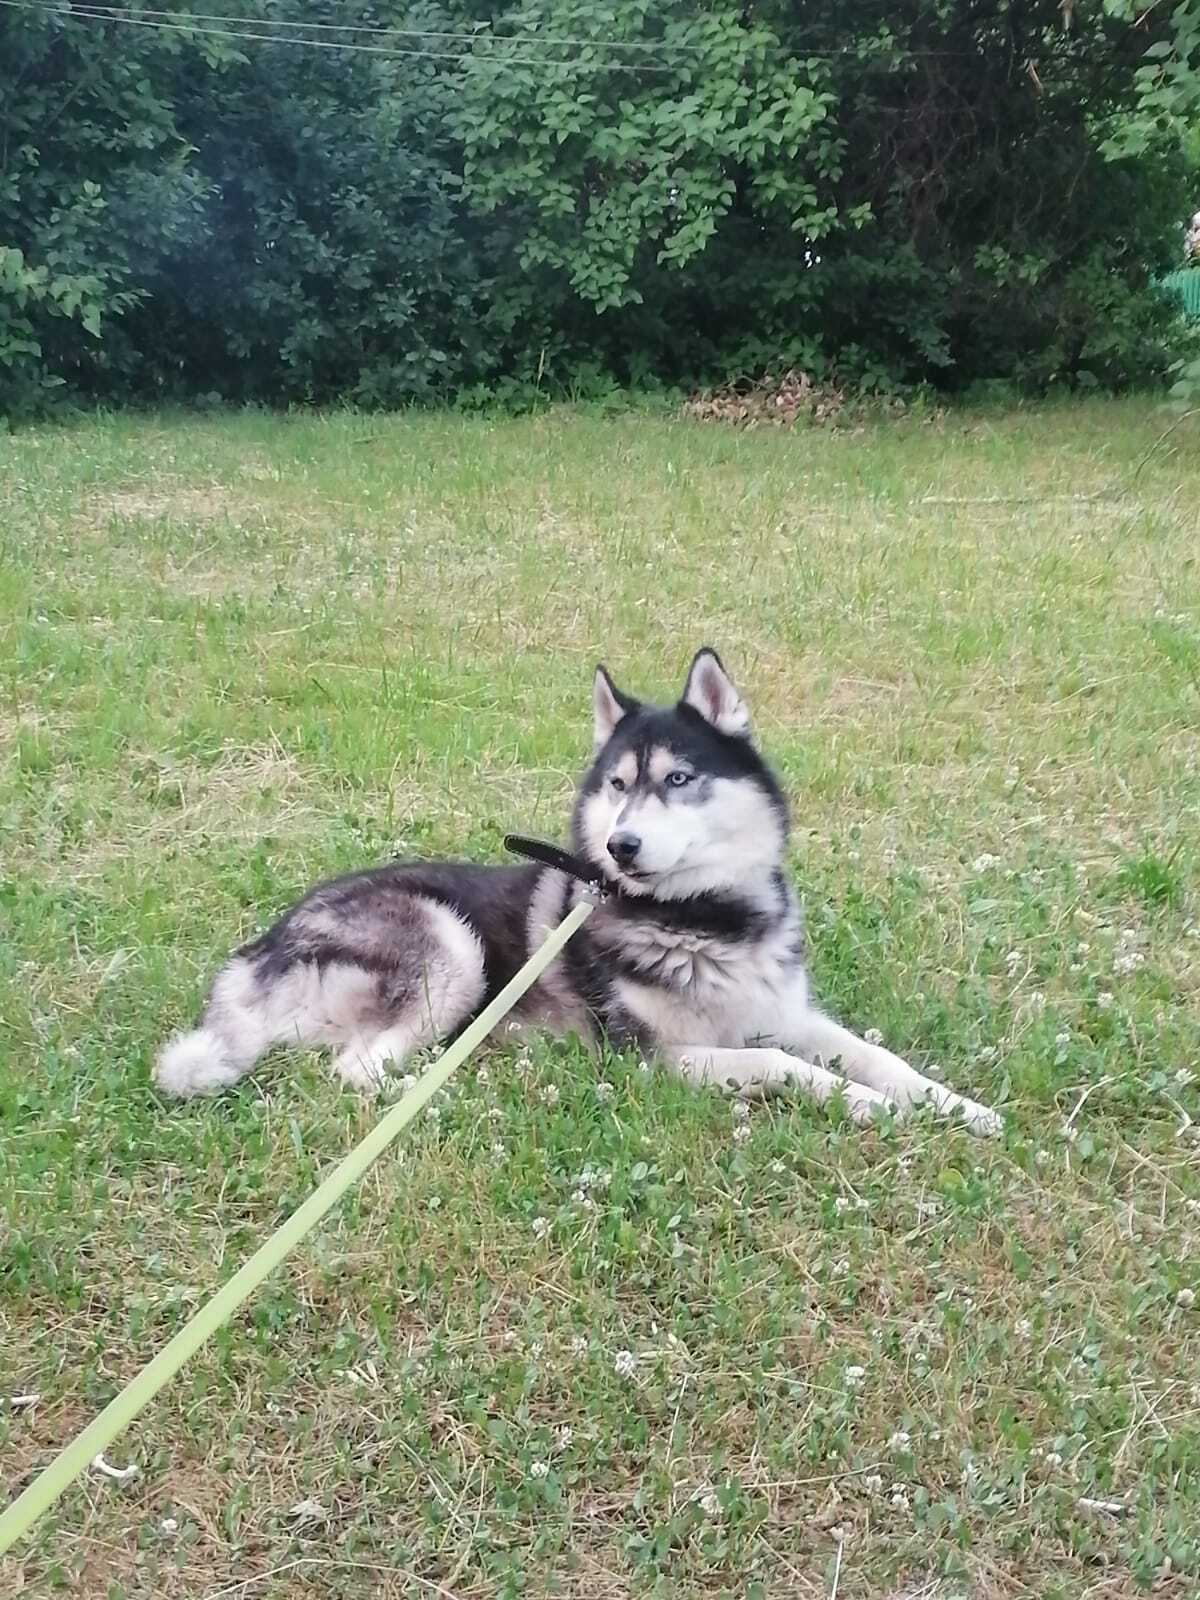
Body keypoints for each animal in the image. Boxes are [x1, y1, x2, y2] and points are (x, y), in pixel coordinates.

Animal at [160, 649, 1004, 1139]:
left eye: (678, 779)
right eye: (620, 786)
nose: (620, 846)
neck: (705, 919)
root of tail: (259, 947)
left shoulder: (786, 1013)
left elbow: (881, 1057)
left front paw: (957, 1105)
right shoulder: (660, 1057)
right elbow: (785, 1068)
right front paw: (870, 1105)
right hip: (449, 950)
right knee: (358, 1070)